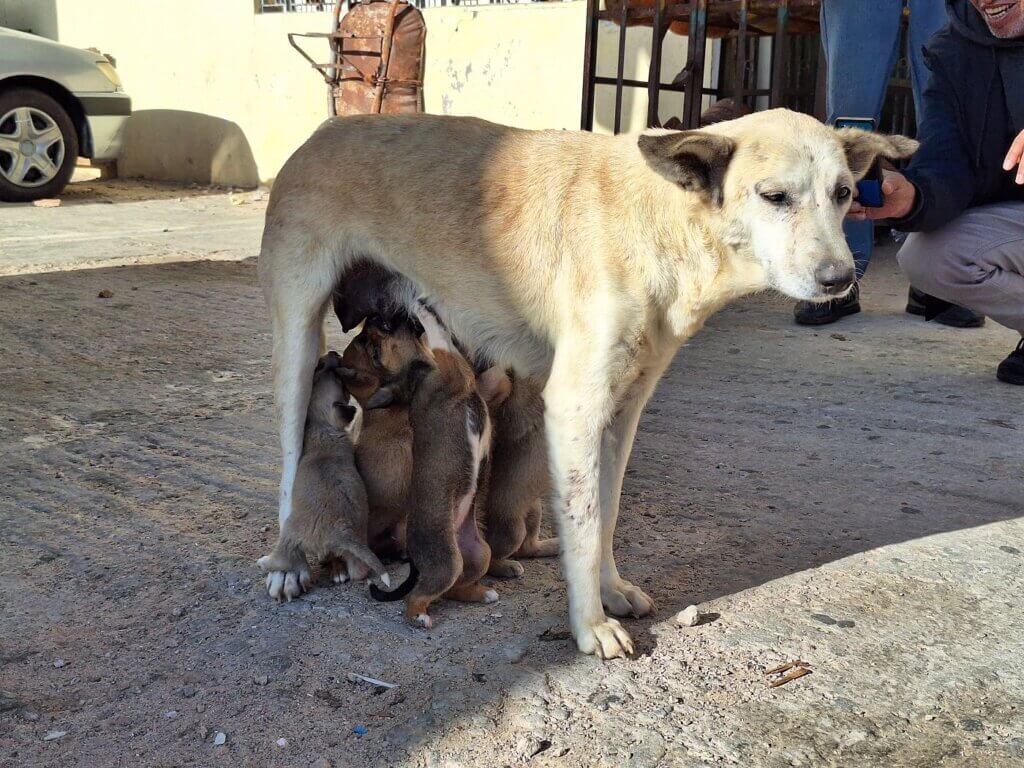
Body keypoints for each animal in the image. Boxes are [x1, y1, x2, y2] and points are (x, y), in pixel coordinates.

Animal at [366, 309, 497, 626]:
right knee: (417, 597)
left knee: (453, 590)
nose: (373, 318)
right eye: (375, 352)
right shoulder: (447, 363)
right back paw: (419, 617)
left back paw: (481, 594)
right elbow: (437, 335)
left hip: (481, 555)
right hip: (447, 562)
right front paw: (423, 308)